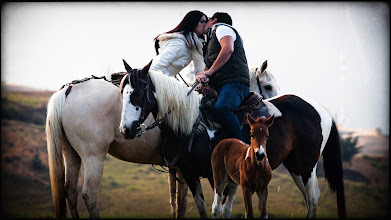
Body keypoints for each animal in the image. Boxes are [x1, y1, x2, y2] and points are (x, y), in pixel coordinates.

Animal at [46, 59, 278, 218]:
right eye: (267, 86)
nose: (269, 110)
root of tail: (68, 90)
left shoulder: (179, 169)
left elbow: (178, 202)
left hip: (71, 153)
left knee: (70, 192)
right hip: (93, 156)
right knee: (89, 195)